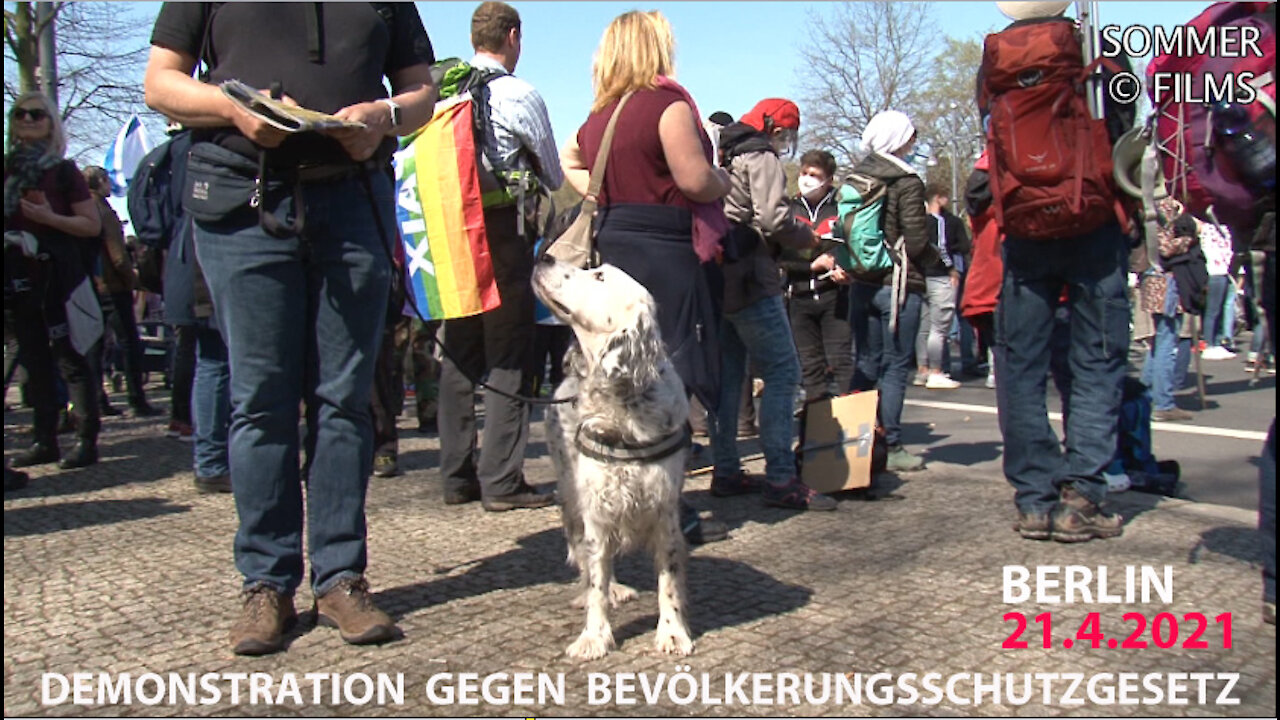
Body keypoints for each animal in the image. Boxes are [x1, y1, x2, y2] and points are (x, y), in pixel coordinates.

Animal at [527, 256, 696, 655]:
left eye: (599, 276)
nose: (544, 257)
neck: (624, 403)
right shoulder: (597, 509)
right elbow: (596, 581)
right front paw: (593, 636)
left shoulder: (664, 510)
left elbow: (668, 582)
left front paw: (672, 632)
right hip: (571, 495)